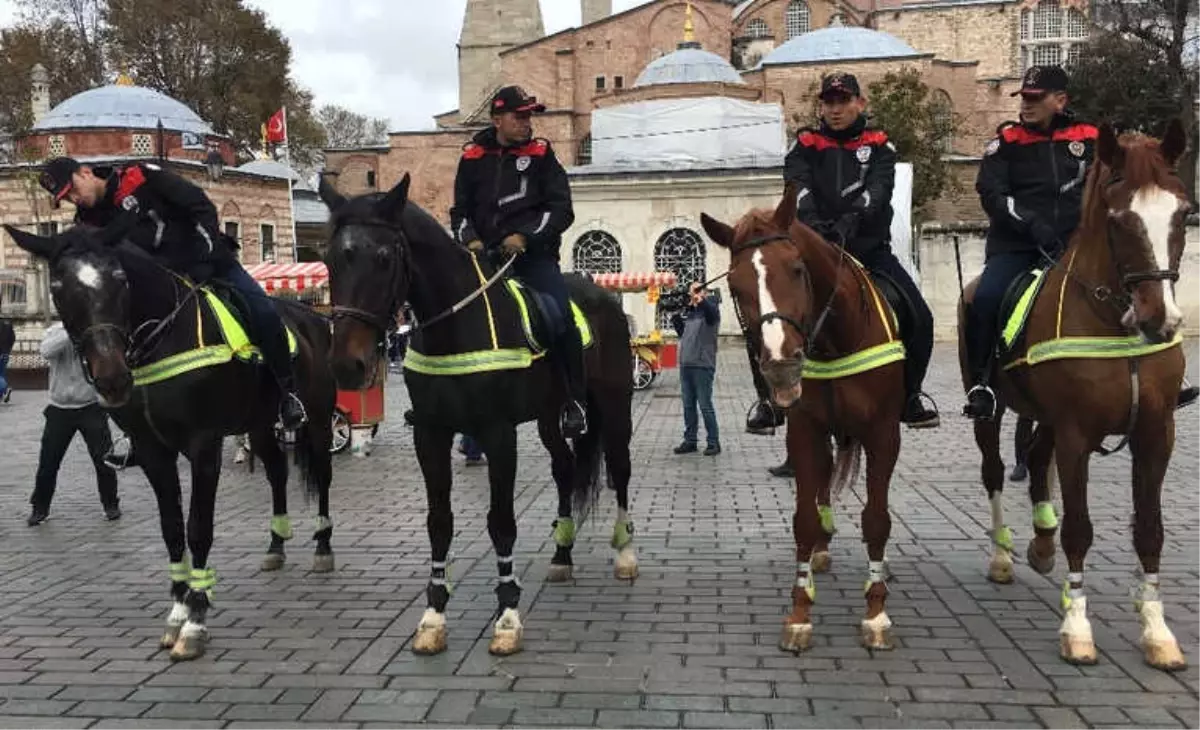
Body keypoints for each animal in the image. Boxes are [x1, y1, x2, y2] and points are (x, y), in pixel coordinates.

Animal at [9, 223, 338, 662]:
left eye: (120, 279)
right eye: (58, 286)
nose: (112, 377)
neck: (161, 342)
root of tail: (314, 318)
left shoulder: (203, 446)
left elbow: (198, 527)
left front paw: (196, 618)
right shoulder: (153, 451)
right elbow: (171, 528)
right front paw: (178, 609)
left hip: (317, 420)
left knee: (322, 474)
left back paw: (323, 545)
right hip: (259, 424)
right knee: (277, 472)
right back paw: (275, 543)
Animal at [319, 175, 638, 657]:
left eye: (384, 257)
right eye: (330, 259)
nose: (346, 365)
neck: (456, 326)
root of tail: (605, 295)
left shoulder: (498, 434)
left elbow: (501, 523)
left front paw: (507, 616)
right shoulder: (430, 435)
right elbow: (439, 522)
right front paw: (433, 615)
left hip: (616, 408)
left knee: (619, 470)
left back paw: (625, 552)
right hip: (551, 418)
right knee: (565, 470)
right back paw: (562, 554)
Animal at [700, 184, 902, 653]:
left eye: (796, 269)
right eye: (735, 284)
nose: (780, 366)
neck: (833, 340)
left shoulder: (884, 434)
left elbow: (876, 519)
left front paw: (876, 612)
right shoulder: (805, 432)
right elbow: (804, 521)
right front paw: (799, 613)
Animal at [955, 121, 1190, 672]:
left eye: (1183, 213)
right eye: (1118, 219)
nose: (1160, 319)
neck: (1115, 322)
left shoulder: (1156, 434)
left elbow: (1150, 528)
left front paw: (1157, 630)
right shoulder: (1078, 433)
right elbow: (1080, 527)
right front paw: (1078, 628)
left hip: (1048, 418)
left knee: (1037, 457)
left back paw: (1041, 542)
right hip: (993, 412)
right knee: (996, 470)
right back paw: (1003, 554)